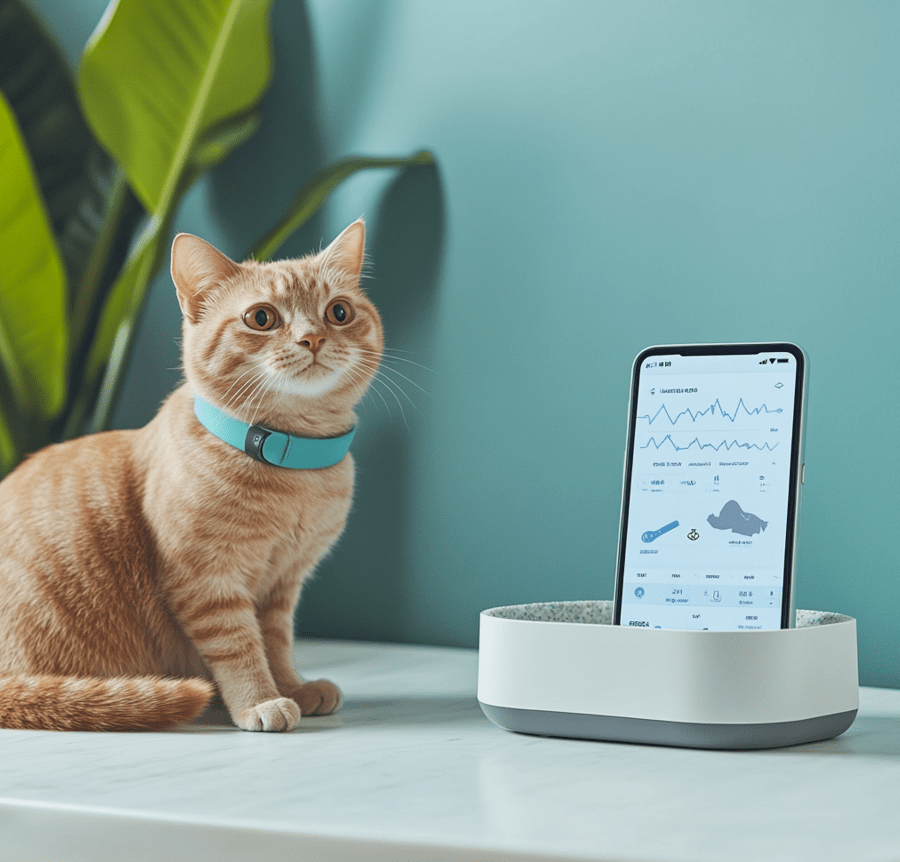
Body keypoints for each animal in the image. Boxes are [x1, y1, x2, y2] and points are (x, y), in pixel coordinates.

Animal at [0, 219, 384, 732]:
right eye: (261, 318)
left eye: (339, 312)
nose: (313, 338)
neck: (292, 469)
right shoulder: (206, 580)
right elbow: (240, 648)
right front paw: (261, 701)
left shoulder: (282, 587)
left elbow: (277, 644)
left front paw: (294, 687)